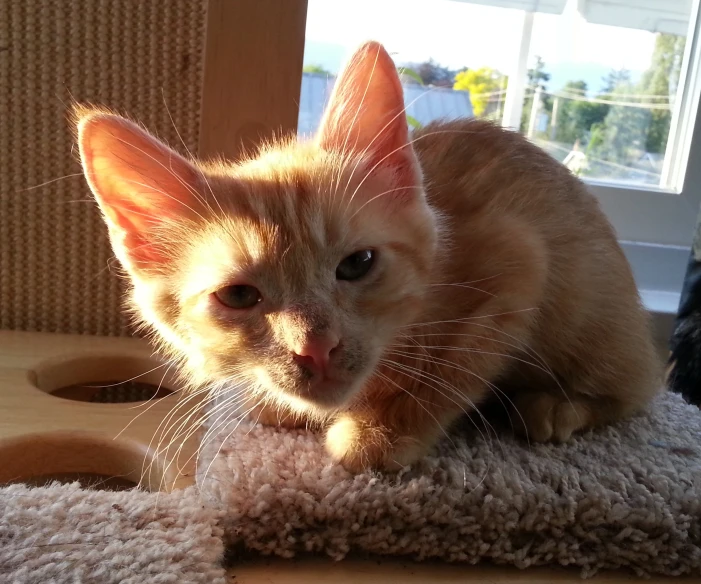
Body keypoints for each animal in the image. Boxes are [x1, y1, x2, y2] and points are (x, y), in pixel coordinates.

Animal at [76, 41, 660, 472]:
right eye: (239, 295)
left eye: (357, 264)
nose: (316, 348)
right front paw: (281, 404)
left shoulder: (516, 259)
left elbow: (451, 368)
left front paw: (381, 430)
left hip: (593, 311)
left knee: (638, 387)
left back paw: (557, 405)